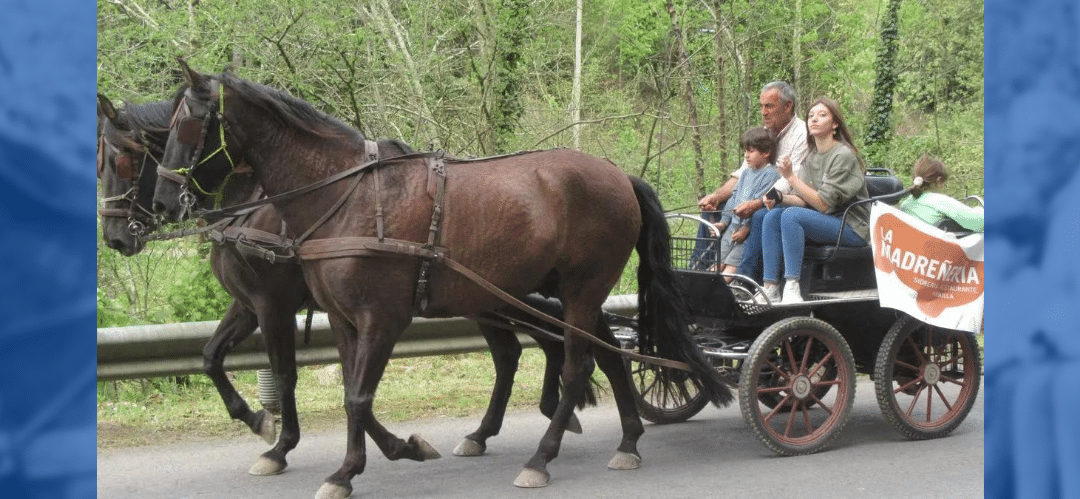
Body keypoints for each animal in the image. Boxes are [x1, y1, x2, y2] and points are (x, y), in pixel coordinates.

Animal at [98, 92, 592, 477]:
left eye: (122, 160)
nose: (117, 237)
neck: (257, 206)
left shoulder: (272, 304)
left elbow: (287, 372)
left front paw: (280, 445)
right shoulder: (248, 305)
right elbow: (210, 356)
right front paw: (257, 419)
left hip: (502, 297)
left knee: (549, 341)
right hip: (488, 299)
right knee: (521, 351)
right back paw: (502, 427)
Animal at [152, 60, 730, 499]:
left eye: (187, 125)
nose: (161, 202)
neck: (348, 198)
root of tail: (618, 175)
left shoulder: (377, 319)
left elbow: (357, 397)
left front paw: (356, 464)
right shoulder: (340, 320)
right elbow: (351, 394)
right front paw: (375, 457)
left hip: (582, 290)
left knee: (575, 365)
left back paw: (541, 458)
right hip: (565, 294)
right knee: (603, 356)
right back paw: (627, 441)